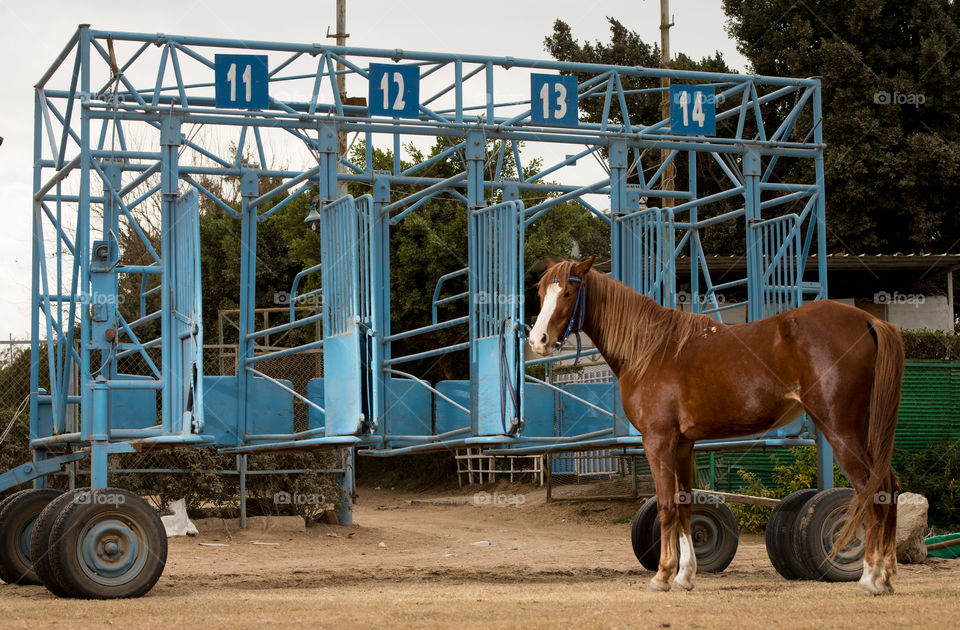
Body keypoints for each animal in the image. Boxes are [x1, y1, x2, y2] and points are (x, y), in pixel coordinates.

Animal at [528, 256, 904, 595]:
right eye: (543, 291)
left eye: (568, 292)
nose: (538, 340)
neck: (651, 350)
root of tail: (869, 320)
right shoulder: (683, 444)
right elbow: (684, 504)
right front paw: (685, 575)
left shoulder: (658, 440)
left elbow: (665, 506)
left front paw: (662, 576)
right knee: (889, 486)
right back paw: (886, 577)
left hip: (840, 429)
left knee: (871, 490)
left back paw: (869, 579)